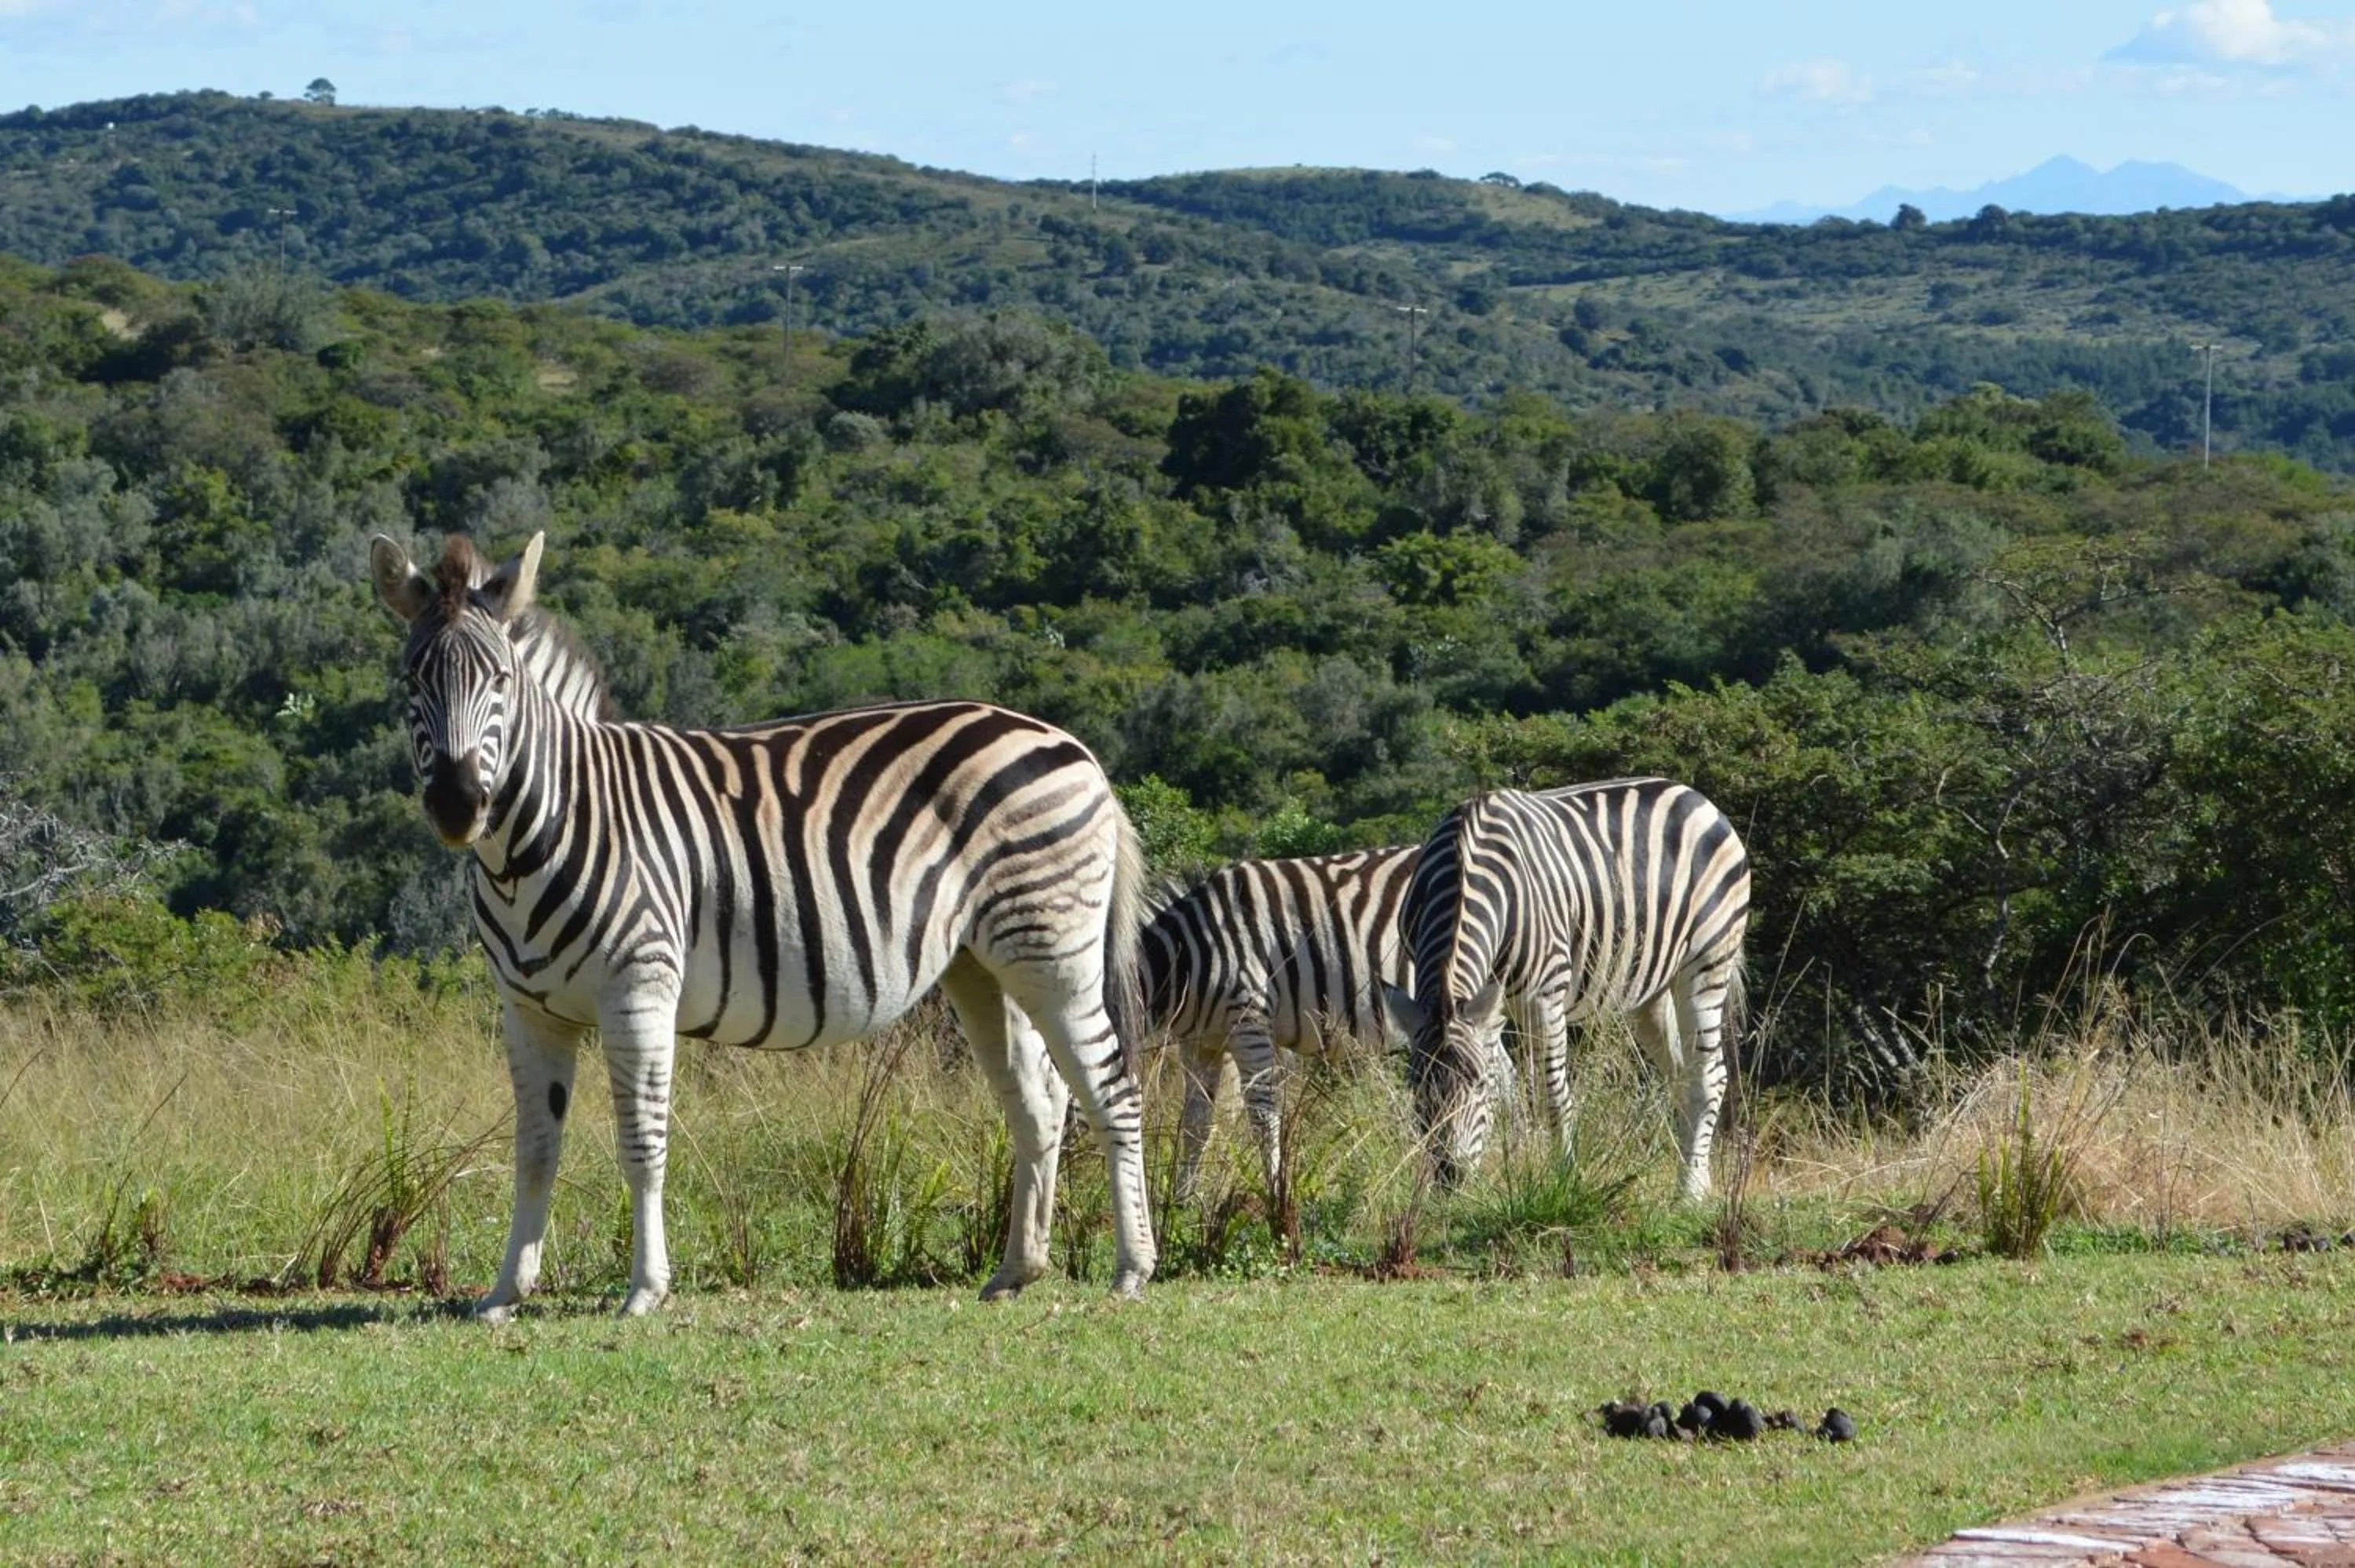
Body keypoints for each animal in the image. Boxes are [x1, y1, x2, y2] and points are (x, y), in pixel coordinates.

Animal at [369, 530, 1157, 1315]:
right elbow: (535, 1149)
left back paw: (1132, 1269)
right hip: (984, 965)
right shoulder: (529, 1011)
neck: (544, 832)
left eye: (500, 681)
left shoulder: (639, 990)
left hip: (1054, 950)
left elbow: (642, 1143)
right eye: (410, 682)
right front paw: (506, 1292)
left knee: (1113, 1090)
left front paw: (645, 1289)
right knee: (1039, 1102)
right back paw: (1018, 1269)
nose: (458, 806)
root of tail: (1071, 745)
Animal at [1140, 844, 1422, 1202]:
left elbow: (1263, 1116)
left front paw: (1276, 1193)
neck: (1188, 957)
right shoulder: (1201, 1042)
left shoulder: (1250, 1022)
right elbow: (1195, 1122)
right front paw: (1182, 1201)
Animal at [1383, 778, 1750, 1197]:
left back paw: (1689, 1193)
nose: (1449, 1178)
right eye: (1415, 1088)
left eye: (1477, 1085)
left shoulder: (1544, 995)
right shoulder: (1483, 1002)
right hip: (1651, 990)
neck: (1462, 870)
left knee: (1708, 1076)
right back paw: (1695, 1179)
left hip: (1708, 961)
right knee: (1681, 1074)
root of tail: (1694, 794)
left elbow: (1551, 1095)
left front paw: (1564, 1178)